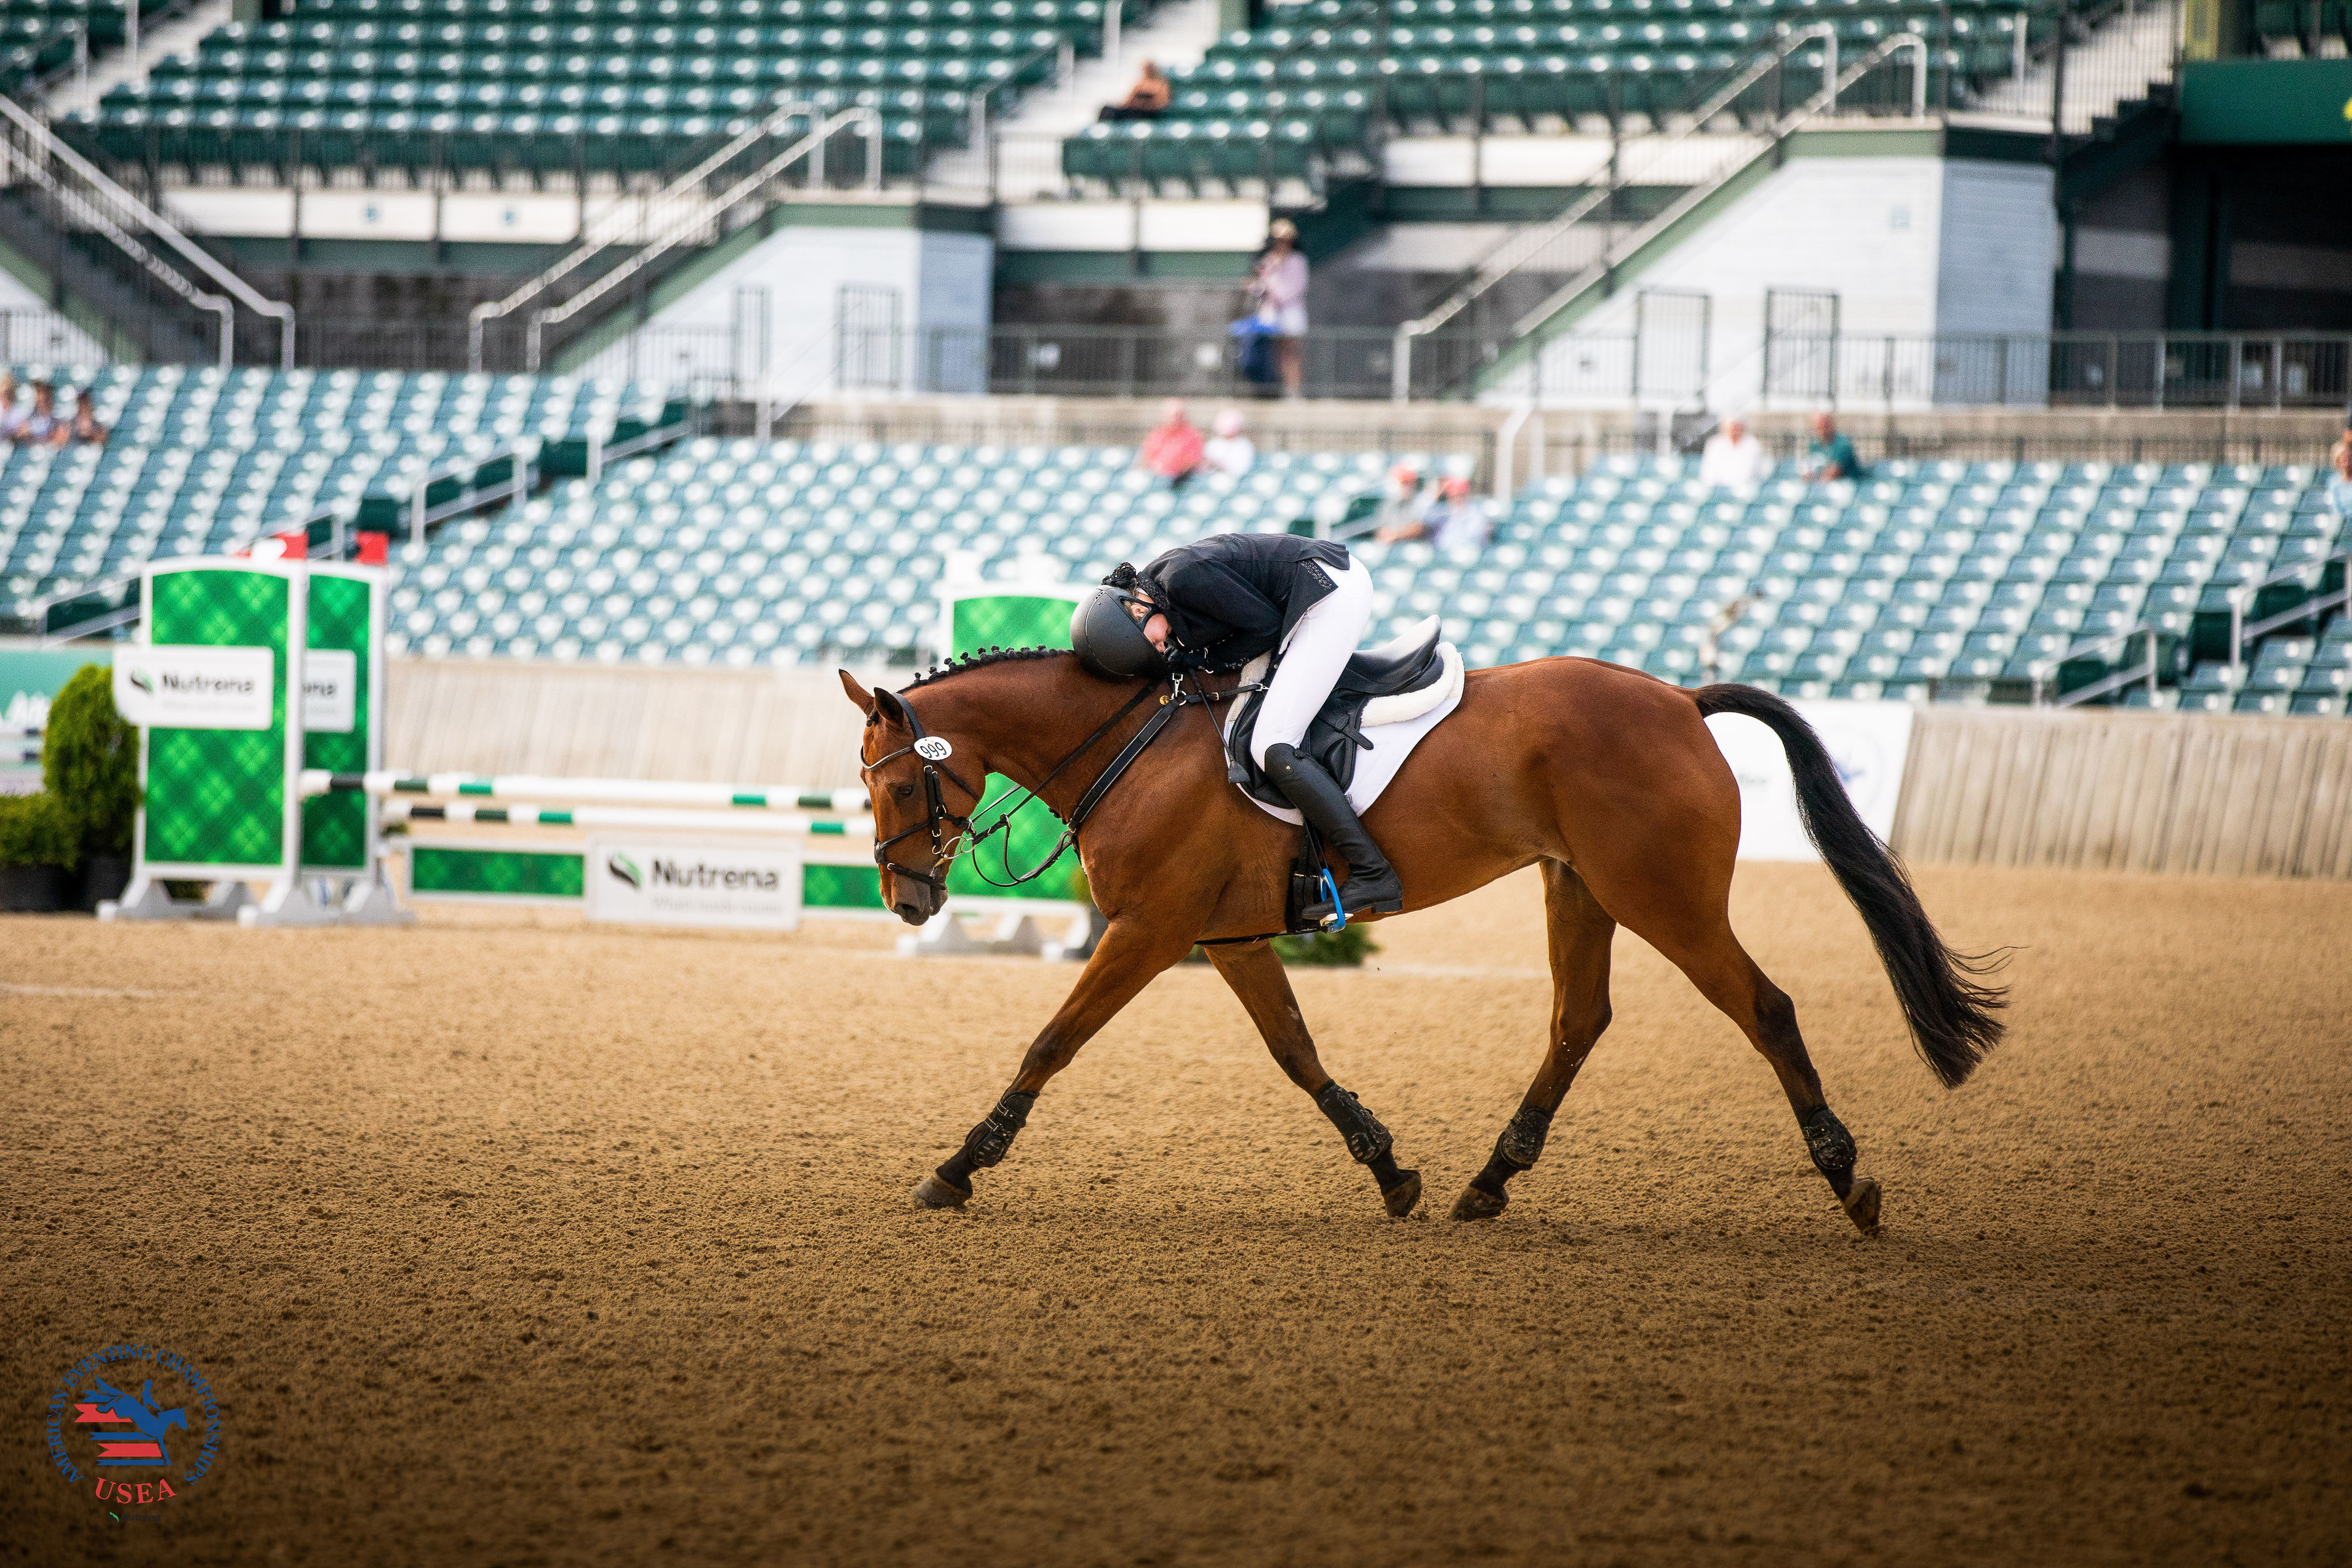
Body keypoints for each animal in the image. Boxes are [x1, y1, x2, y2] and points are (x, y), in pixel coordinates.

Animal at [839, 649, 2004, 1234]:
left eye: (893, 783)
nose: (907, 902)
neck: (1133, 742)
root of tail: (1679, 698)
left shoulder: (1149, 930)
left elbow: (1051, 1042)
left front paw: (956, 1169)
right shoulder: (1228, 937)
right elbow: (1297, 1053)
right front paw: (1390, 1170)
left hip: (1661, 895)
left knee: (1763, 1008)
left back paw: (1849, 1183)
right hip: (1581, 889)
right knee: (1579, 1021)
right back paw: (1487, 1183)